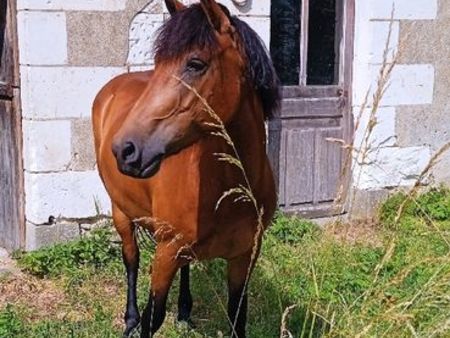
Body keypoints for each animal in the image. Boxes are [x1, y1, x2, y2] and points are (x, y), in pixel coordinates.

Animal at [93, 1, 280, 336]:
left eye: (195, 64)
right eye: (158, 64)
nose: (124, 150)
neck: (231, 190)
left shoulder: (244, 258)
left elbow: (237, 320)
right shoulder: (165, 255)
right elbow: (152, 318)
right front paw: (142, 321)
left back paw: (184, 311)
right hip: (122, 213)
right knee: (131, 260)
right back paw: (130, 319)